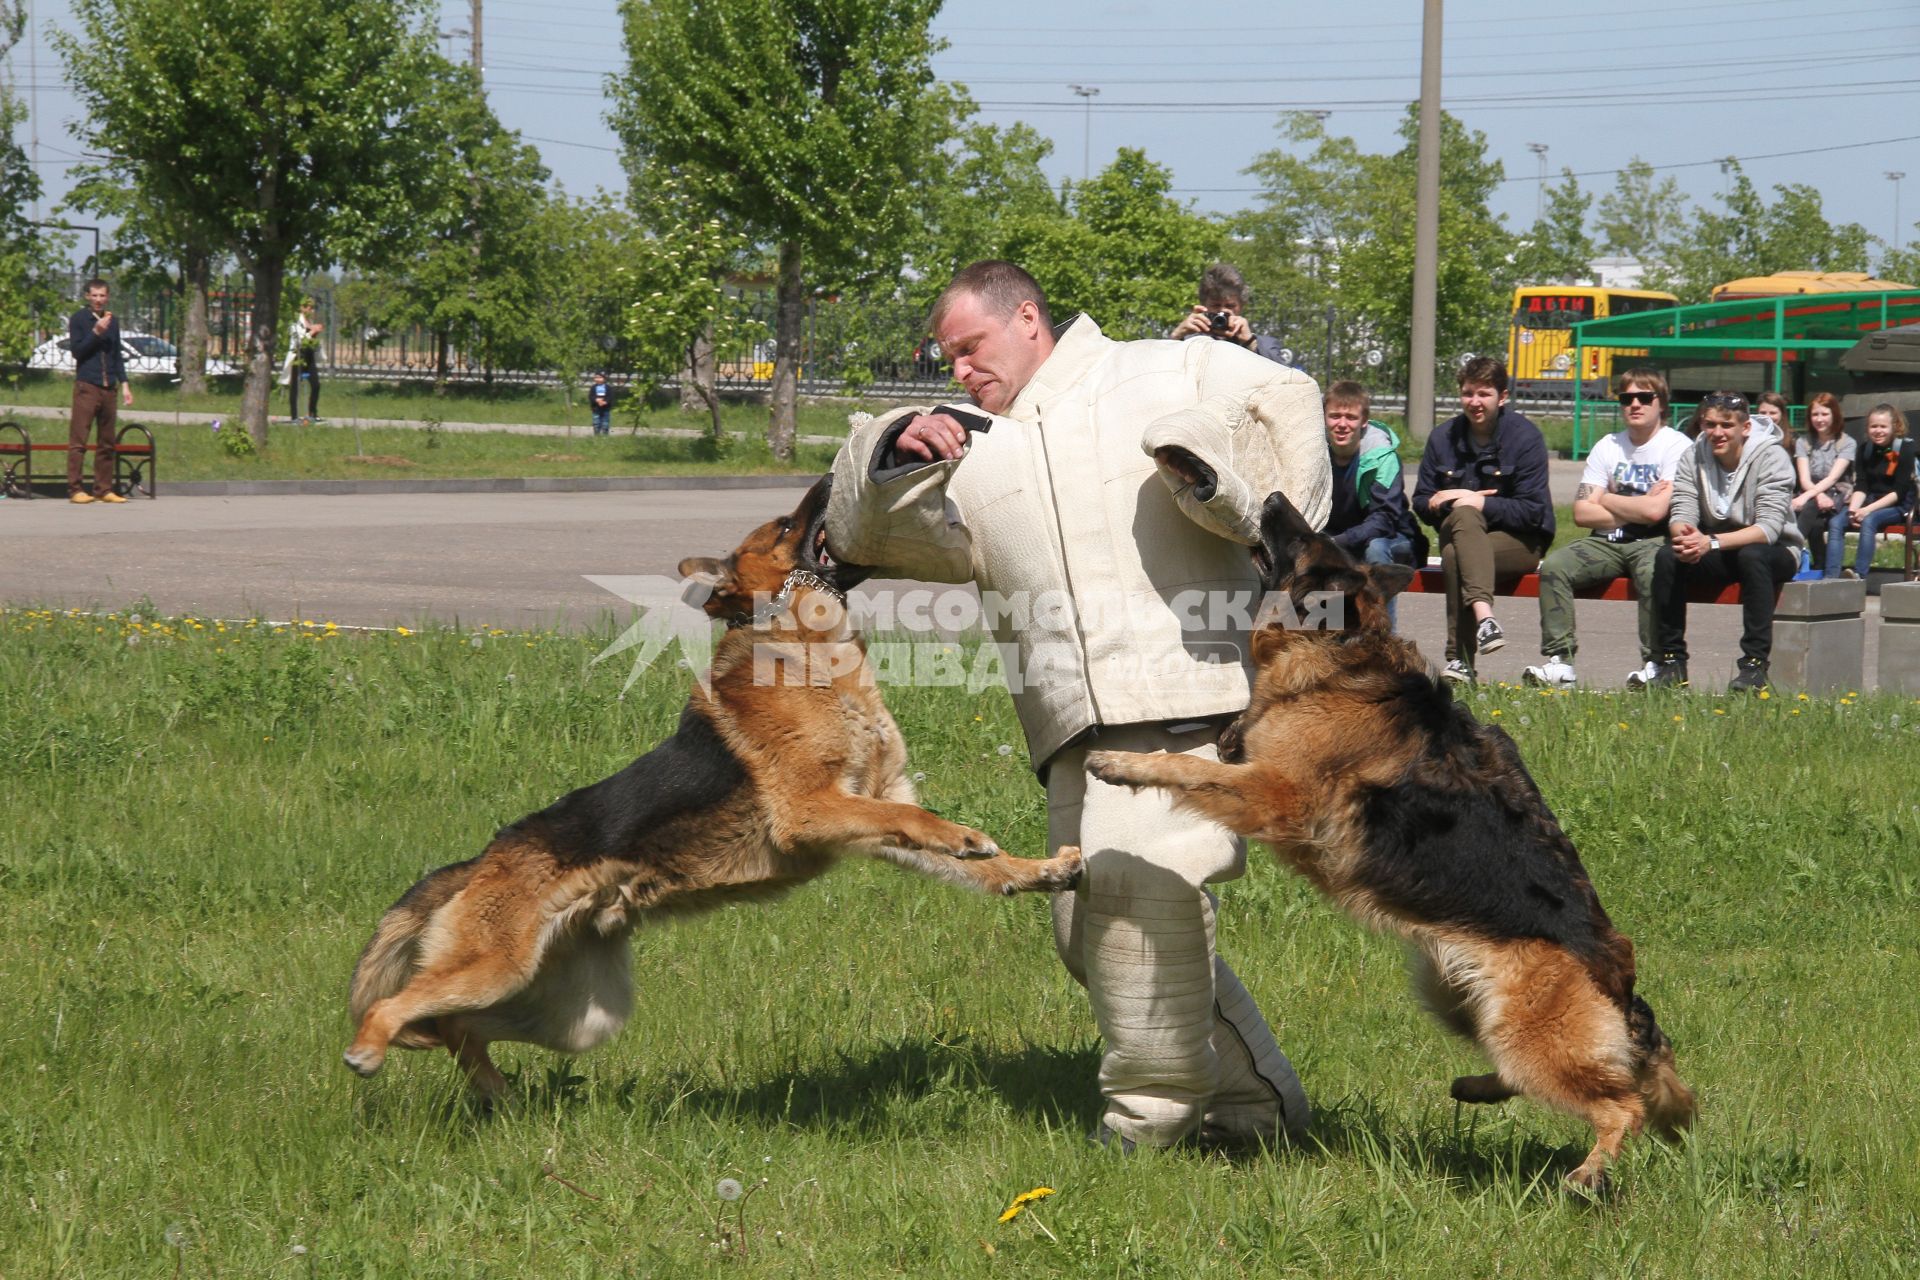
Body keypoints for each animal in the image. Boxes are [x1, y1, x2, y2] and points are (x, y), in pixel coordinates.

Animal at [345, 479, 1082, 1105]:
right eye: (785, 525)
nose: (825, 477)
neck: (807, 653)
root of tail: (482, 860)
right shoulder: (814, 811)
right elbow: (917, 815)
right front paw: (967, 839)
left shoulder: (868, 811)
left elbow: (934, 835)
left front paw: (1033, 870)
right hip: (496, 969)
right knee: (396, 1007)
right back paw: (368, 1051)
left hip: (569, 1012)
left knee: (455, 1028)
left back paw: (493, 1089)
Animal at [1098, 495, 1697, 1189]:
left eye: (1303, 541)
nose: (1272, 500)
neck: (1344, 655)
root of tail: (1620, 980)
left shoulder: (1273, 795)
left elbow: (1184, 768)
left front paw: (1120, 763)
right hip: (1460, 999)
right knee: (1558, 1077)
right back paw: (1476, 1089)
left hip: (1528, 1032)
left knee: (1620, 1103)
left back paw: (1587, 1176)